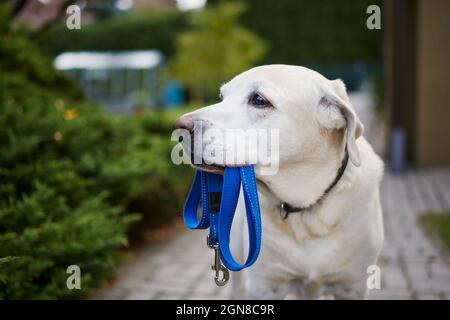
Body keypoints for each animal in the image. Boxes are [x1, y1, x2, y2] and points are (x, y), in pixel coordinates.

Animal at [172, 65, 384, 300]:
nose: (178, 127)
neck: (308, 211)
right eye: (221, 97)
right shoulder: (264, 287)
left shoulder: (352, 287)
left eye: (258, 99)